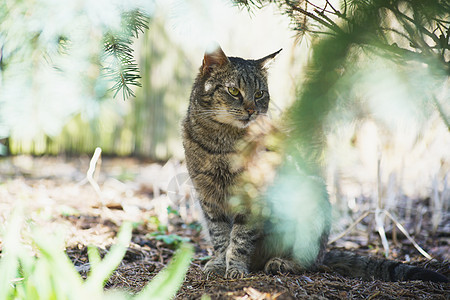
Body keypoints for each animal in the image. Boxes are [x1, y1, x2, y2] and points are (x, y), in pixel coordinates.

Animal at [181, 45, 448, 284]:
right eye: (234, 91)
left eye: (259, 94)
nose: (251, 110)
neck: (221, 144)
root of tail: (324, 252)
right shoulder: (208, 199)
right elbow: (219, 236)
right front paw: (218, 263)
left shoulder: (252, 198)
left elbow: (239, 239)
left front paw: (235, 267)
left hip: (312, 203)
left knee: (309, 262)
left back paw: (282, 263)